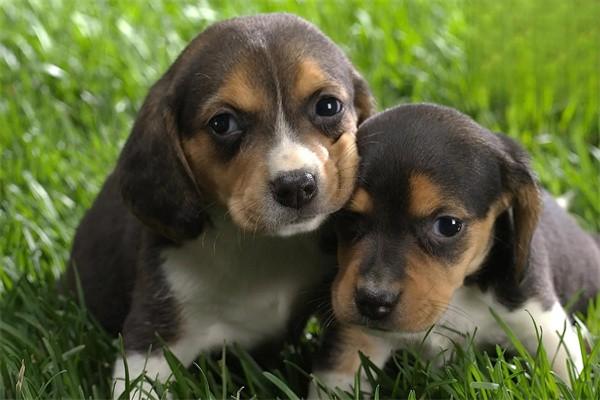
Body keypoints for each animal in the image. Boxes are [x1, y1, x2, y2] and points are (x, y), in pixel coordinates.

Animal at [314, 102, 600, 394]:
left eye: (448, 225)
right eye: (348, 216)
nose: (372, 301)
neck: (458, 294)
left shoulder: (545, 325)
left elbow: (567, 378)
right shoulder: (353, 341)